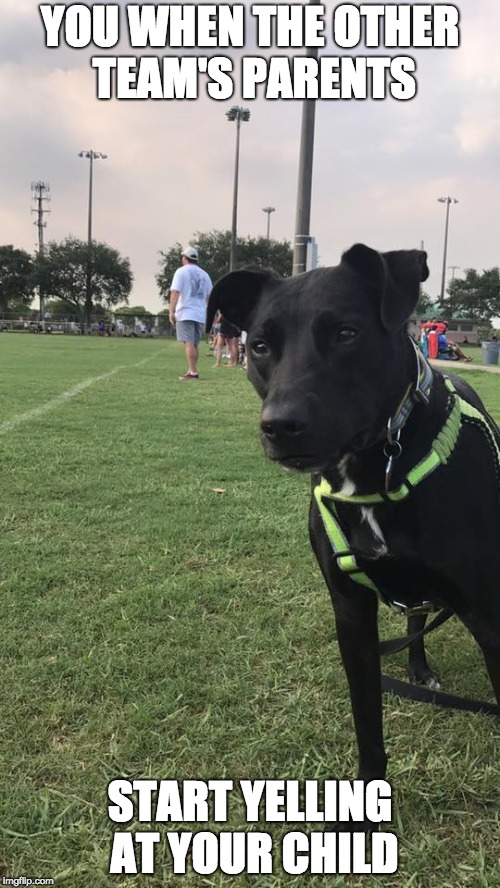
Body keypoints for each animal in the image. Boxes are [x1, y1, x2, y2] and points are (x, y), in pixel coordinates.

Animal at [206, 243, 500, 796]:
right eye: (260, 346)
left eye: (346, 333)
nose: (280, 426)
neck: (375, 470)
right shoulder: (352, 617)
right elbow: (368, 726)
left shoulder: (488, 617)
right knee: (417, 616)